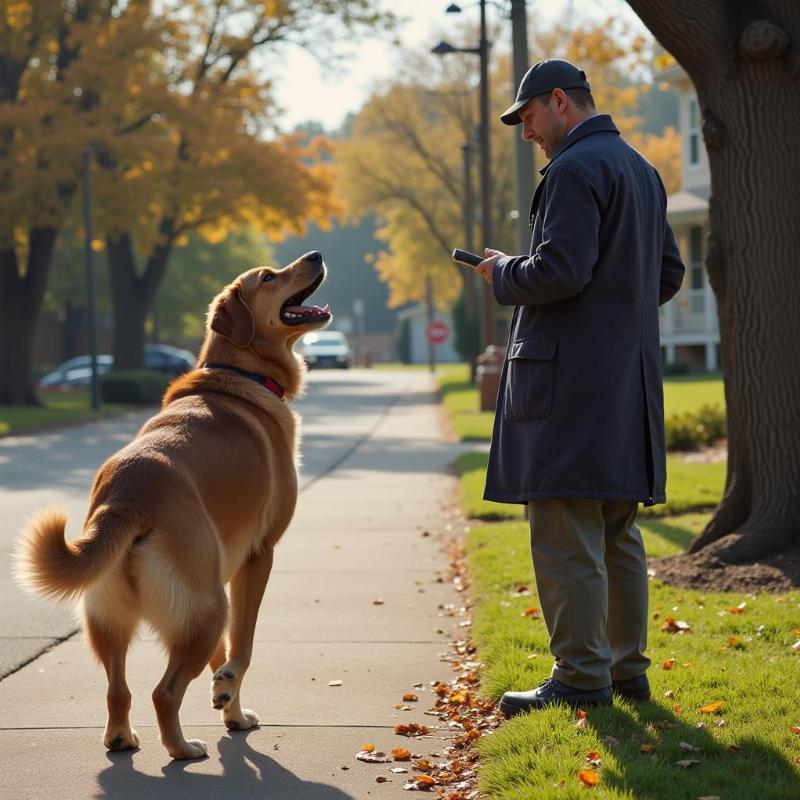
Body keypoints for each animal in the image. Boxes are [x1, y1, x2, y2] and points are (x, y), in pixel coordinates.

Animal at [14, 253, 332, 760]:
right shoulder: (258, 557)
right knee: (163, 692)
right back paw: (182, 748)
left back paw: (122, 737)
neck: (241, 373)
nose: (316, 255)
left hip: (118, 618)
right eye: (269, 277)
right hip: (209, 605)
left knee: (118, 690)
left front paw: (230, 707)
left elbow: (222, 657)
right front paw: (230, 695)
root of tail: (126, 497)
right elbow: (242, 646)